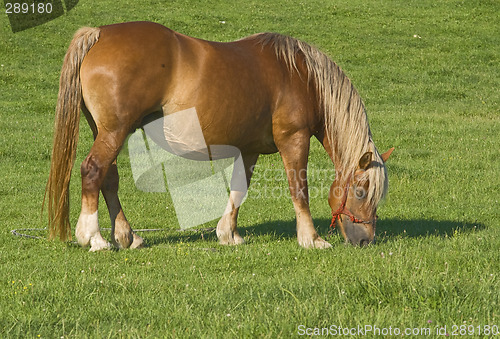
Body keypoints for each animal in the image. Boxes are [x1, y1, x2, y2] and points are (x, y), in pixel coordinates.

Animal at [45, 20, 392, 250]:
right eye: (361, 191)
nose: (365, 240)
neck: (302, 76)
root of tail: (99, 33)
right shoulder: (294, 139)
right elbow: (299, 189)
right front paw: (311, 239)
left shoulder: (250, 149)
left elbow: (238, 189)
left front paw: (229, 234)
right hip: (114, 132)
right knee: (93, 171)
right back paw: (93, 237)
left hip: (106, 131)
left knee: (109, 178)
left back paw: (127, 236)